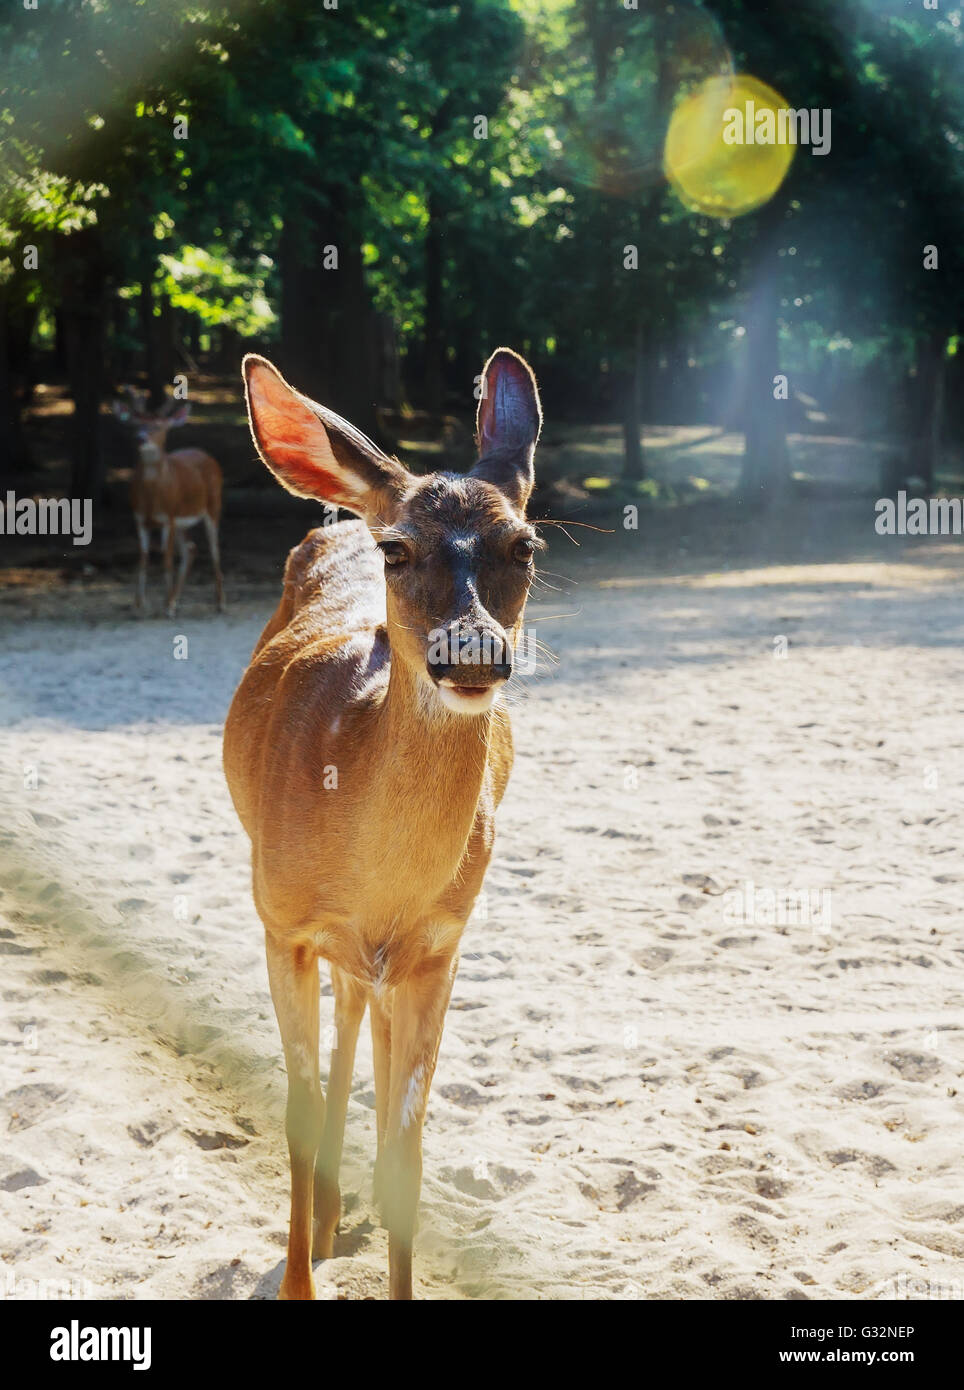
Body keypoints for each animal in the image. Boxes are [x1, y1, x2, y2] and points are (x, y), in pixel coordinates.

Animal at [113, 387, 225, 617]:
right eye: (136, 423)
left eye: (158, 426)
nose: (140, 438)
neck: (152, 497)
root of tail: (207, 455)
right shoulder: (139, 518)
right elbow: (143, 558)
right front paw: (138, 604)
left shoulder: (170, 516)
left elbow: (166, 559)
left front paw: (166, 606)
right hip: (183, 521)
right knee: (191, 549)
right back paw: (175, 598)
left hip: (213, 505)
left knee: (214, 550)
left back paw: (219, 603)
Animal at [222, 347, 543, 1300]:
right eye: (397, 549)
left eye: (525, 543)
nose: (472, 651)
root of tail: (341, 515)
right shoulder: (281, 919)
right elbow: (293, 1111)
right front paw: (298, 1278)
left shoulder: (442, 941)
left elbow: (411, 1148)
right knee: (348, 1016)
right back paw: (327, 1217)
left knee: (364, 1014)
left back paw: (343, 1206)